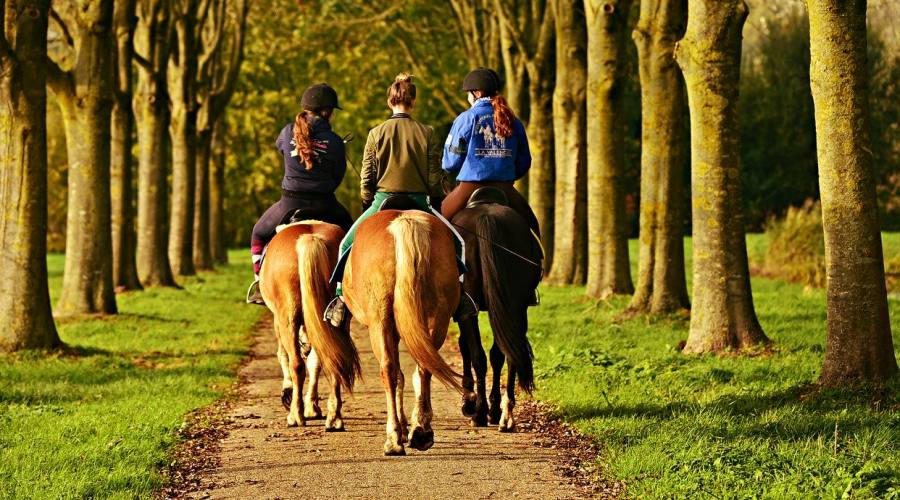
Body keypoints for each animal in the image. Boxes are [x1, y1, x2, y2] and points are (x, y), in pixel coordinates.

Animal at [258, 222, 360, 430]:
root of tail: (310, 239)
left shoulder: (278, 321)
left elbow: (283, 355)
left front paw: (289, 394)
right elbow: (315, 361)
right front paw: (312, 407)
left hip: (287, 318)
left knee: (296, 363)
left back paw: (295, 416)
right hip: (336, 321)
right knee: (334, 358)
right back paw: (334, 418)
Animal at [342, 209, 464, 456]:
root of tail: (404, 221)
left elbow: (398, 374)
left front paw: (402, 427)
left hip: (379, 321)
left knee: (388, 370)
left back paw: (393, 438)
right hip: (437, 316)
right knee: (424, 367)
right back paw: (422, 431)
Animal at [454, 194, 536, 430]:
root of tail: (487, 217)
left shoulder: (464, 311)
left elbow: (466, 347)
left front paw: (469, 402)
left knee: (479, 357)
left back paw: (480, 412)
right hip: (515, 307)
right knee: (508, 353)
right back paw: (504, 414)